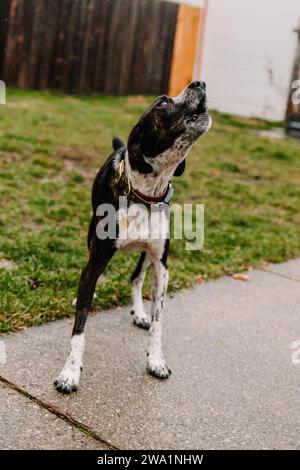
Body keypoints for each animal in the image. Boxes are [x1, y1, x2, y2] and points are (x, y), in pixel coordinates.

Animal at [54, 80, 211, 392]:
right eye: (162, 103)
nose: (199, 83)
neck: (144, 194)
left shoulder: (162, 265)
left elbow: (159, 319)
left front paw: (156, 360)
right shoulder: (96, 259)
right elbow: (79, 328)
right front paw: (70, 372)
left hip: (149, 255)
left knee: (136, 277)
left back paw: (139, 313)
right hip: (92, 238)